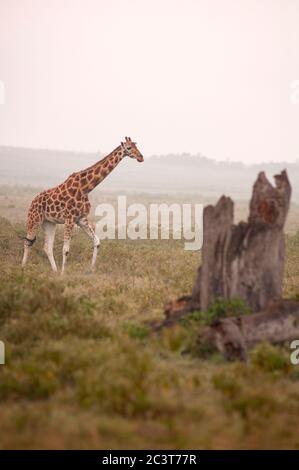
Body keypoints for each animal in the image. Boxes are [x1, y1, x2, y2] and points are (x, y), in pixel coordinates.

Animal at [21, 136, 145, 274]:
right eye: (129, 148)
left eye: (136, 146)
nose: (141, 157)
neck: (86, 188)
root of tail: (33, 201)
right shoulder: (70, 219)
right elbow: (66, 249)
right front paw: (64, 274)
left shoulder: (81, 219)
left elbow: (97, 242)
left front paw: (91, 269)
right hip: (34, 219)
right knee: (27, 242)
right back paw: (23, 268)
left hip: (49, 223)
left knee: (47, 247)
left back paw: (55, 271)